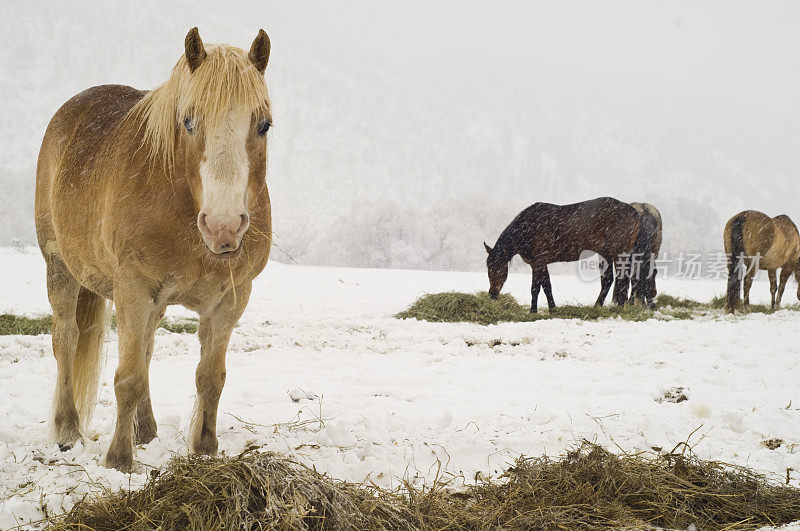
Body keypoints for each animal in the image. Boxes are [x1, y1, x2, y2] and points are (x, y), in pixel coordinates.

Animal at [36, 28, 274, 474]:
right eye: (188, 121)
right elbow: (127, 377)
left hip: (153, 301)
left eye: (264, 125)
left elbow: (210, 377)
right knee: (67, 338)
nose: (223, 226)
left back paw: (145, 431)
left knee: (145, 345)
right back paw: (68, 431)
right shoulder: (132, 287)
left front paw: (204, 450)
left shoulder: (232, 298)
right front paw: (118, 460)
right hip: (60, 266)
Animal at [484, 197, 652, 312]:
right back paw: (598, 306)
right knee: (609, 280)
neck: (526, 229)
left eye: (499, 268)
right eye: (488, 267)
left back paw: (619, 307)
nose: (492, 294)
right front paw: (540, 309)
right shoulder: (537, 264)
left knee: (622, 279)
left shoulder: (539, 262)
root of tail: (633, 211)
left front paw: (545, 310)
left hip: (618, 254)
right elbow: (540, 287)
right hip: (606, 254)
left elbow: (542, 287)